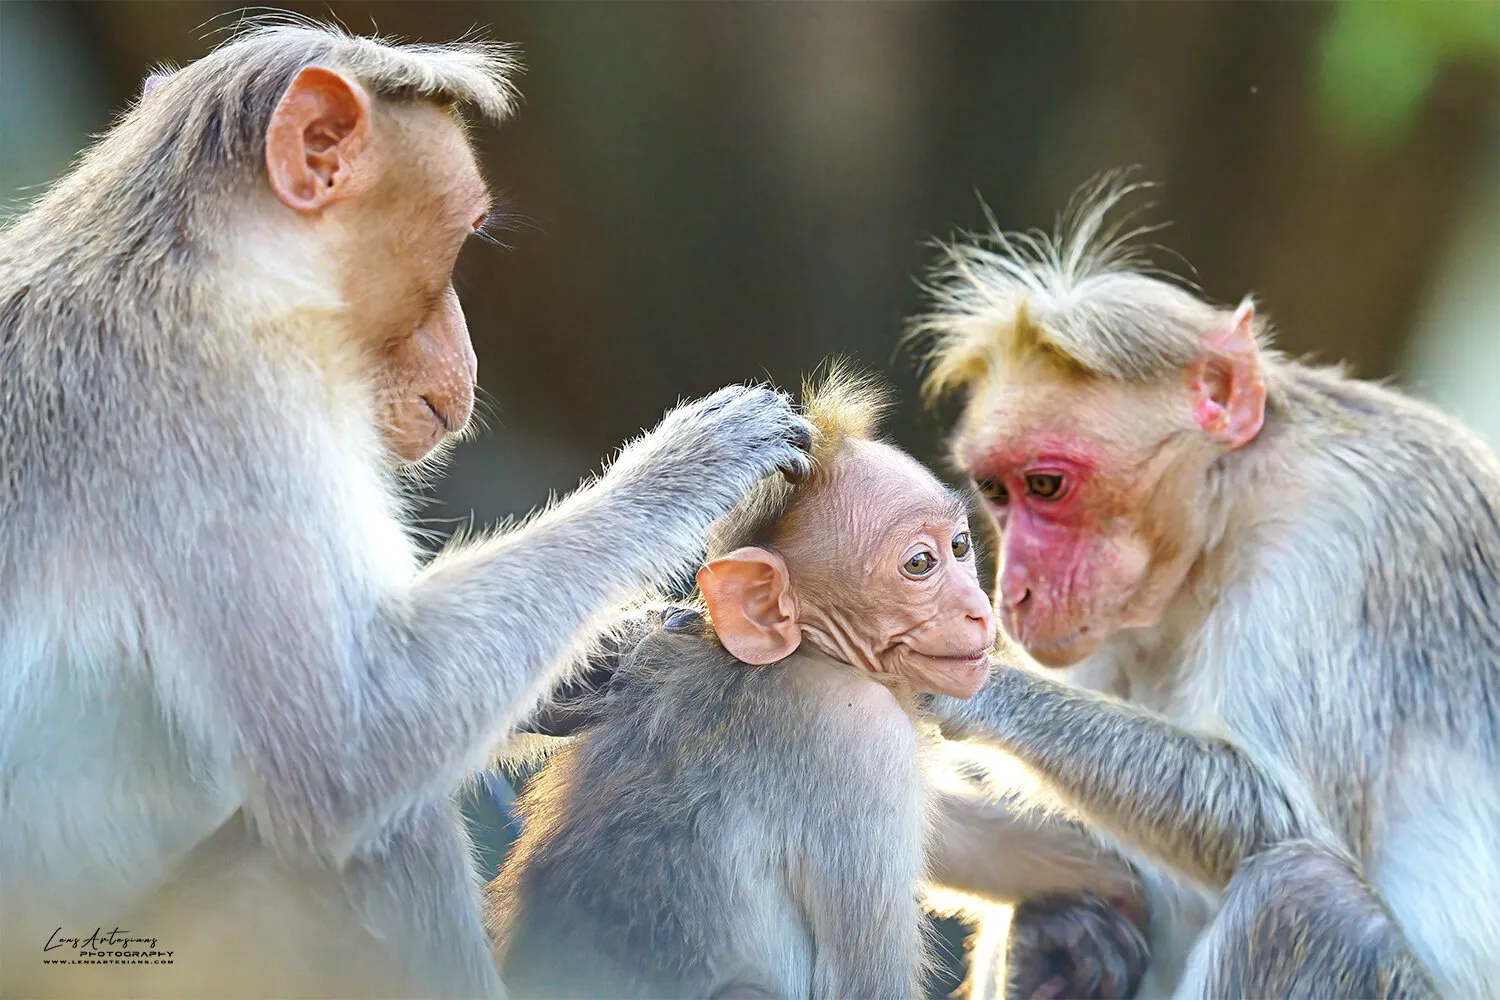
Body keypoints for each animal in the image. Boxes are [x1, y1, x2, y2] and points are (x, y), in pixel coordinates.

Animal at [0, 20, 815, 1000]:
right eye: (460, 242)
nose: (467, 367)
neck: (206, 267)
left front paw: (595, 666)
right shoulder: (222, 402)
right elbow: (353, 744)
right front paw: (690, 466)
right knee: (377, 839)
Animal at [485, 366, 1151, 1000]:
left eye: (960, 546)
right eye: (920, 564)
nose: (978, 611)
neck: (811, 658)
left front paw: (1092, 884)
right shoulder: (858, 735)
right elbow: (864, 984)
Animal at [904, 174, 1495, 997]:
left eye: (1047, 486)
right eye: (997, 491)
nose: (1011, 590)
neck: (1220, 526)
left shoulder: (1333, 543)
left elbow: (1276, 813)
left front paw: (979, 684)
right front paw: (1062, 938)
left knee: (1302, 894)